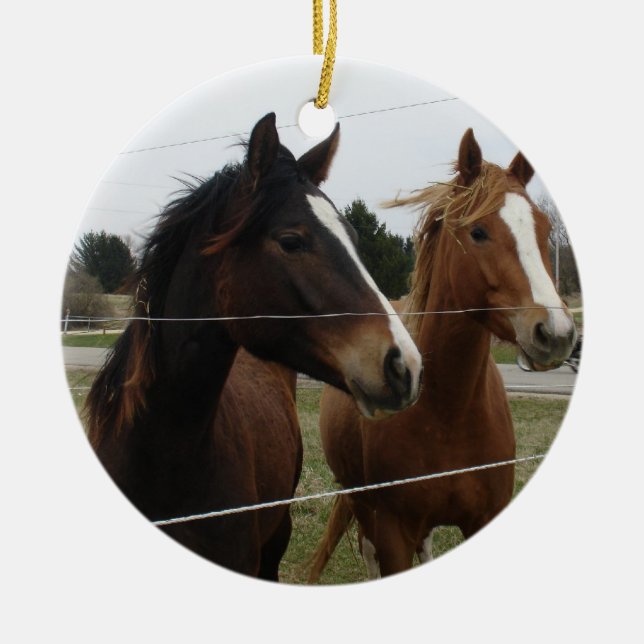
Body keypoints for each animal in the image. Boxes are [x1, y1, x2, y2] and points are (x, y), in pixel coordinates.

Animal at [308, 128, 578, 580]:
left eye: (542, 229)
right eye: (479, 232)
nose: (555, 333)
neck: (449, 413)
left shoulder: (483, 518)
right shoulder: (393, 532)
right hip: (363, 506)